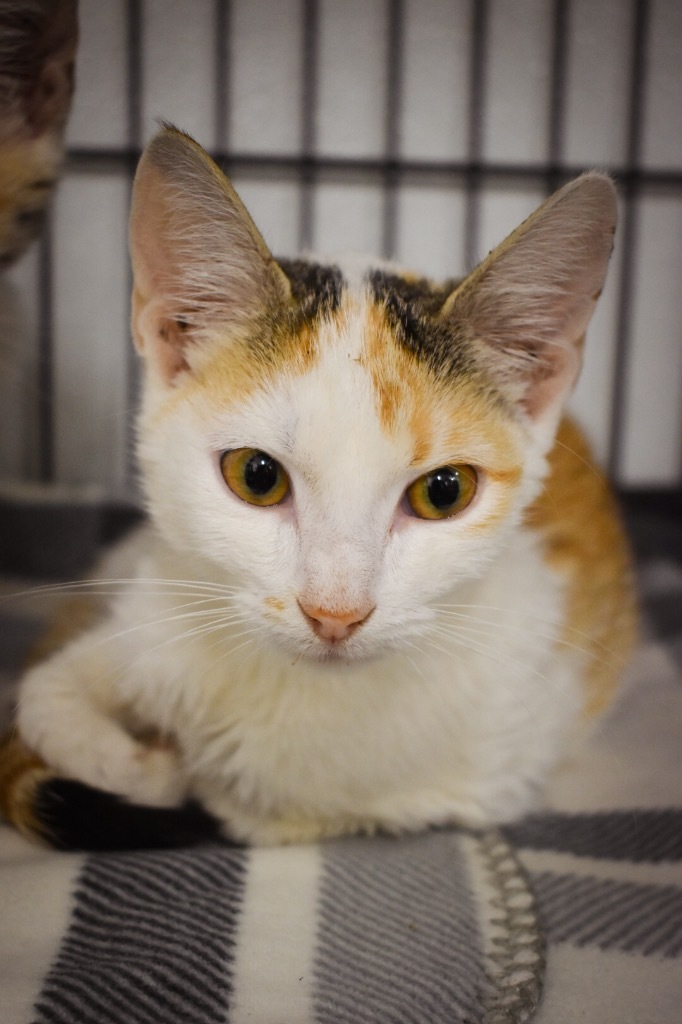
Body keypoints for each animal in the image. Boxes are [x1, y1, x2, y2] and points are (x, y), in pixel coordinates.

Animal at [2, 125, 634, 847]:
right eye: (256, 476)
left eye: (443, 492)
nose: (336, 614)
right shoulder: (149, 610)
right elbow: (42, 695)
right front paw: (147, 762)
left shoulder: (488, 770)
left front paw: (184, 773)